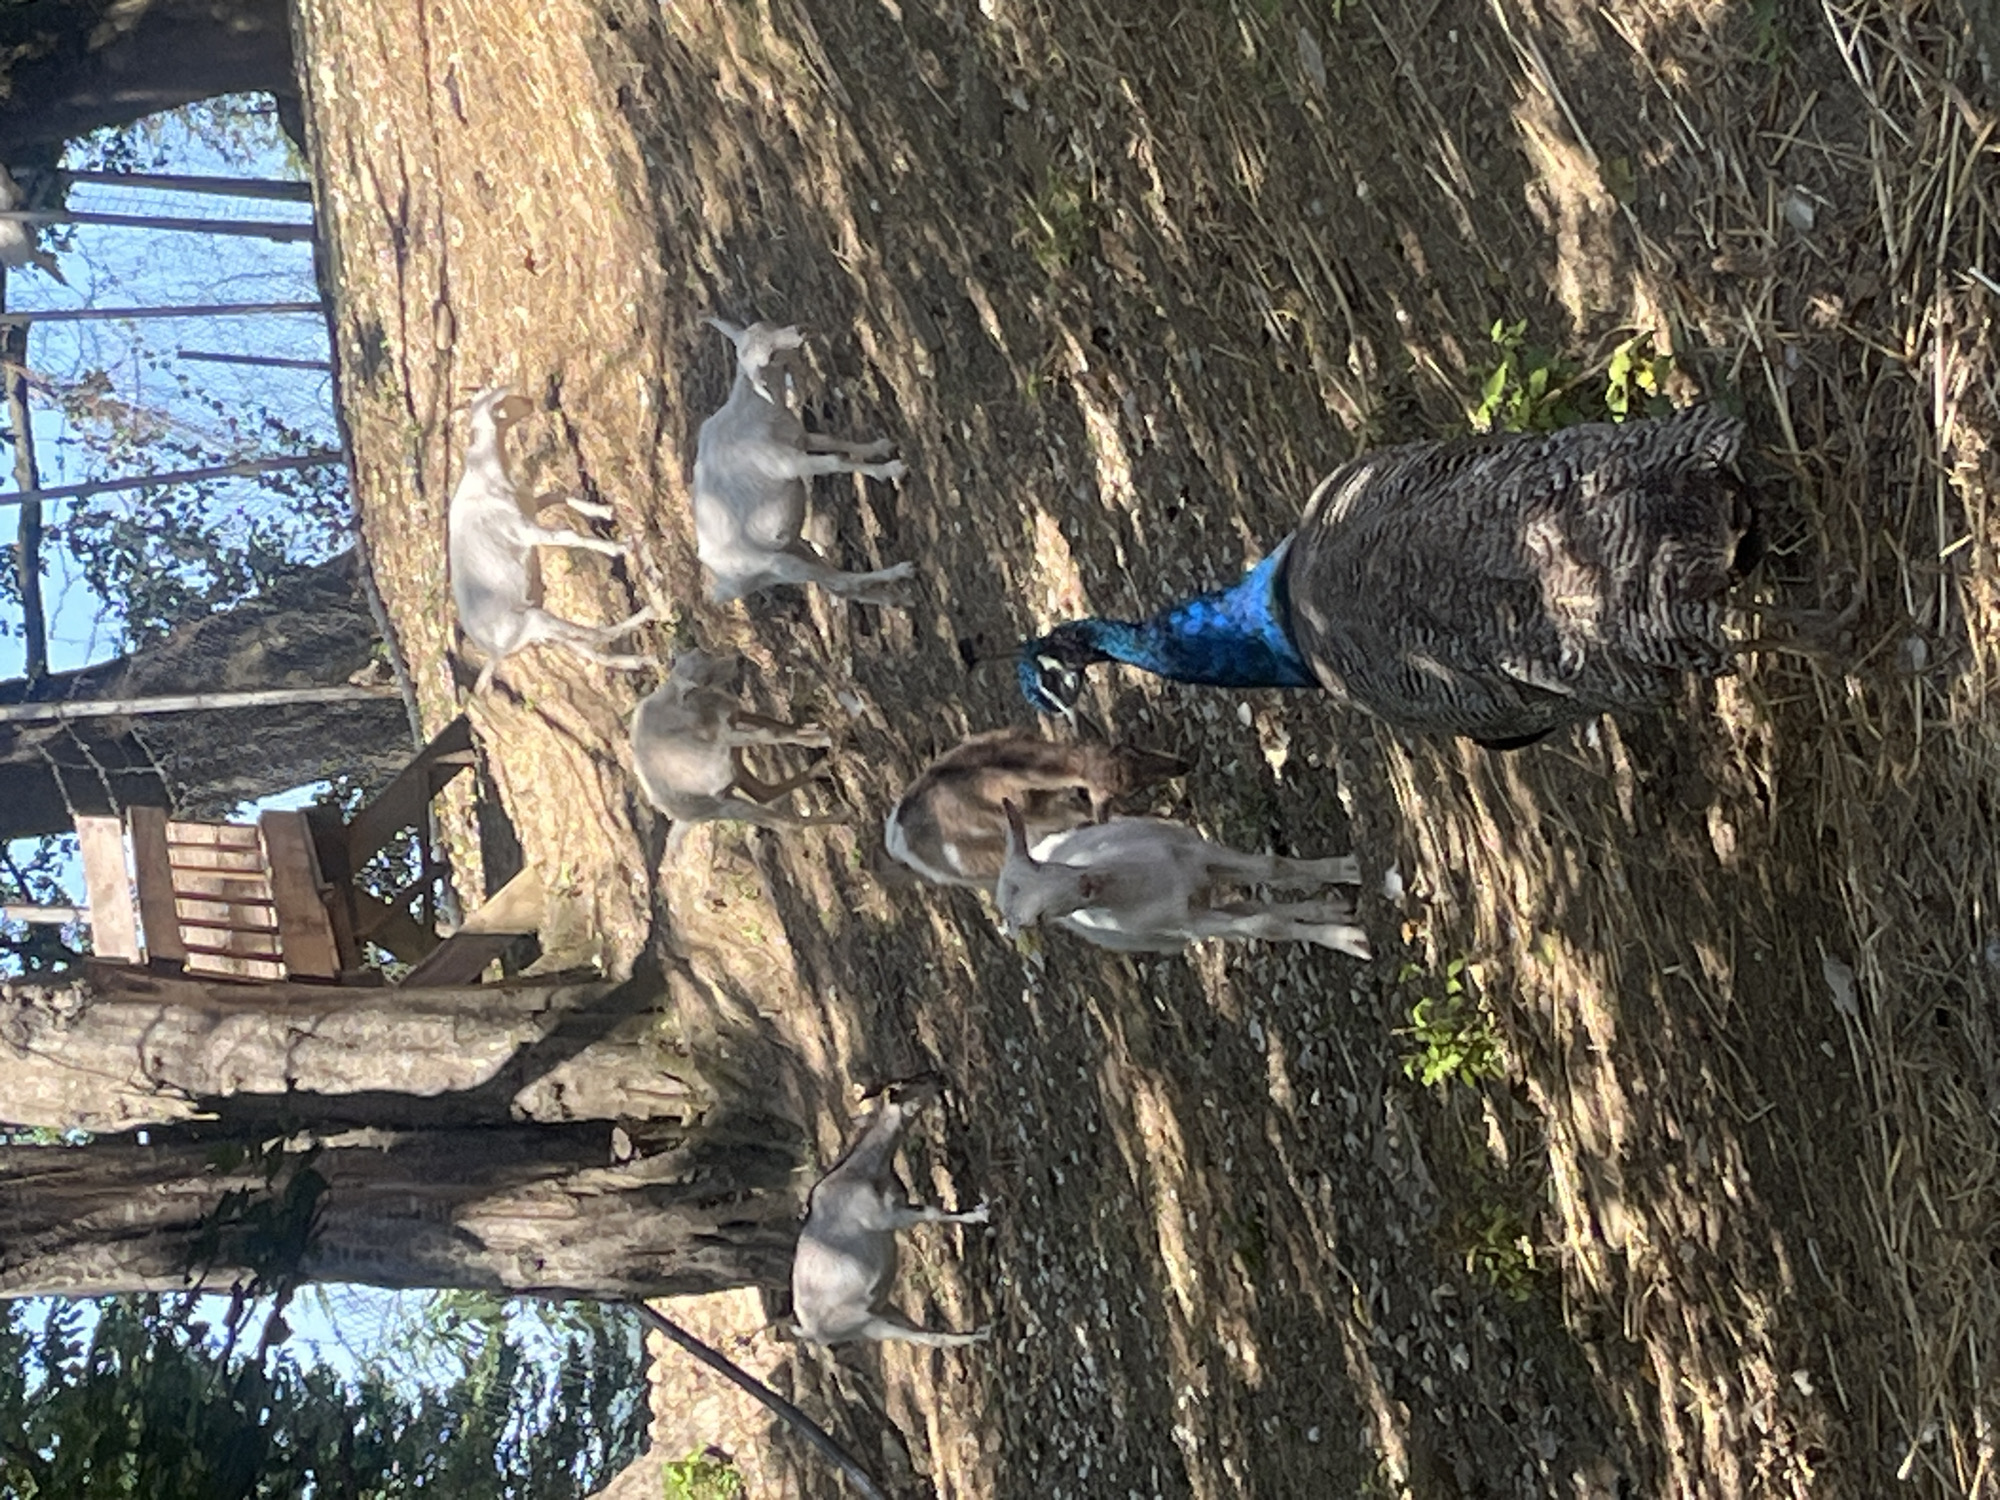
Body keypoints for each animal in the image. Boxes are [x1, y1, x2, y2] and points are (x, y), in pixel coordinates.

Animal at [449, 387, 655, 695]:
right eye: (503, 400)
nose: (532, 401)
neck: (485, 474)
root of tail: (494, 652)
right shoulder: (524, 530)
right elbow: (566, 535)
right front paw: (617, 547)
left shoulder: (530, 506)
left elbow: (558, 495)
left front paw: (604, 511)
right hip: (533, 622)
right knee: (594, 633)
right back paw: (646, 616)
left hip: (542, 629)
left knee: (588, 647)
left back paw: (638, 660)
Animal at [630, 648, 845, 852]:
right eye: (703, 680)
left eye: (703, 653)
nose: (739, 660)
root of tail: (672, 812)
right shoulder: (728, 736)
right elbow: (770, 733)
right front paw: (823, 739)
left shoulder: (735, 715)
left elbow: (774, 724)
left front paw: (812, 731)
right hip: (722, 805)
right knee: (787, 824)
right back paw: (845, 814)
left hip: (733, 771)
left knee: (762, 793)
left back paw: (822, 769)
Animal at [693, 319, 914, 605]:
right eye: (770, 357)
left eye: (762, 326)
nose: (799, 332)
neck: (756, 412)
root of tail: (723, 585)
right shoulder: (790, 464)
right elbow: (836, 461)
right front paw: (892, 469)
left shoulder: (801, 438)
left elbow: (834, 442)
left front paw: (880, 446)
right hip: (780, 565)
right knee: (840, 581)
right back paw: (899, 573)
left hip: (790, 550)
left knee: (838, 586)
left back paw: (895, 597)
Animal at [791, 1078, 991, 1349]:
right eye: (907, 1086)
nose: (937, 1077)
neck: (865, 1172)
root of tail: (811, 1333)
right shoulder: (885, 1218)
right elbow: (932, 1213)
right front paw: (979, 1214)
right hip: (872, 1325)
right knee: (926, 1338)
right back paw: (978, 1335)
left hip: (884, 1309)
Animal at [997, 801, 1371, 958]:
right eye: (1037, 921)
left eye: (1038, 866)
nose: (1084, 887)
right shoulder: (1186, 924)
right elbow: (1266, 925)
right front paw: (1350, 941)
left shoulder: (1199, 854)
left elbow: (1274, 867)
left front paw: (1349, 868)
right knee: (1248, 913)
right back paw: (1334, 913)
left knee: (1250, 902)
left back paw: (1334, 906)